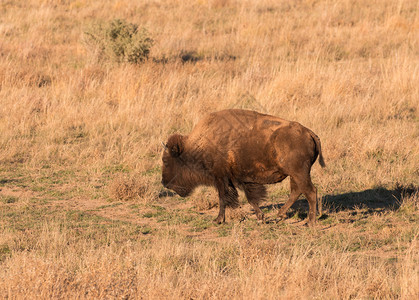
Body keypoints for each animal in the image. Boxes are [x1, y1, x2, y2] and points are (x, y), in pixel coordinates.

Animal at [162, 109, 326, 226]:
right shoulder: (240, 180)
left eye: (166, 160)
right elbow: (251, 199)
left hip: (299, 173)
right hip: (295, 175)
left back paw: (310, 222)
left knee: (310, 191)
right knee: (297, 191)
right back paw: (280, 215)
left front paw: (218, 220)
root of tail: (309, 133)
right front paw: (261, 218)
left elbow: (223, 198)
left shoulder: (221, 178)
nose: (164, 183)